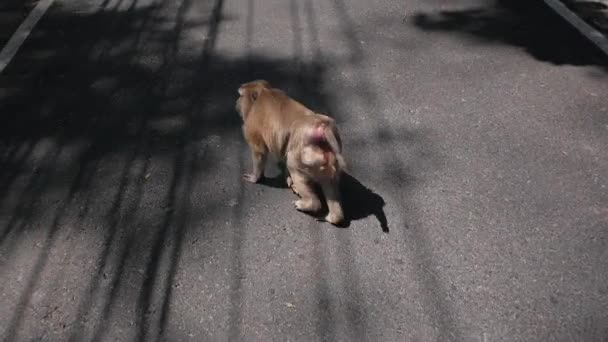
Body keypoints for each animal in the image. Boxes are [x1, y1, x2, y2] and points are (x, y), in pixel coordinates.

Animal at [235, 80, 344, 224]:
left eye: (240, 96)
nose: (236, 103)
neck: (263, 91)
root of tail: (322, 128)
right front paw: (288, 179)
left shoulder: (252, 124)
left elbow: (259, 151)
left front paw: (255, 177)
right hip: (328, 162)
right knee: (329, 182)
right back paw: (333, 217)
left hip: (307, 157)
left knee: (292, 164)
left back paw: (309, 204)